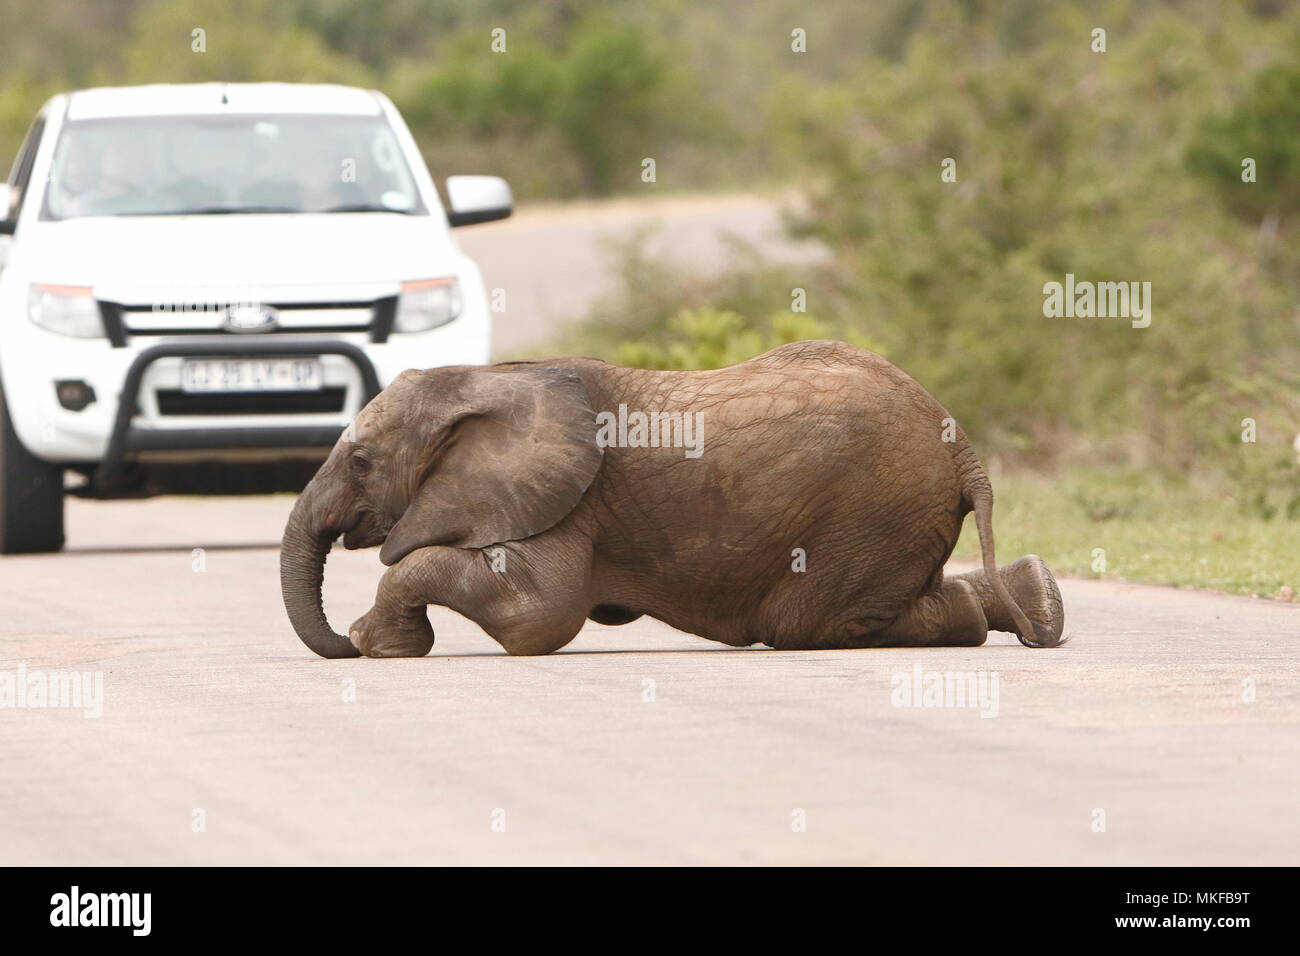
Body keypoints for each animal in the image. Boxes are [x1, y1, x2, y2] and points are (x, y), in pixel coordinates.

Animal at [280, 339, 1066, 659]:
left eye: (360, 460)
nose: (338, 647)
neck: (482, 380)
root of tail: (958, 441)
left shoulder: (570, 499)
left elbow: (540, 614)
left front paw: (370, 642)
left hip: (869, 506)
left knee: (802, 622)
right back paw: (1042, 601)